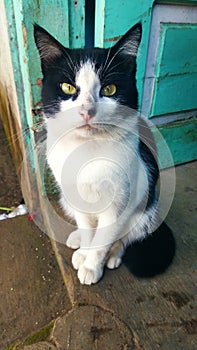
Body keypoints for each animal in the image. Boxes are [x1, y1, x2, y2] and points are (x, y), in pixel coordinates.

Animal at [34, 22, 159, 284]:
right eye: (68, 87)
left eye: (109, 89)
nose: (87, 111)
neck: (87, 149)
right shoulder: (73, 191)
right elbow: (86, 226)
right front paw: (85, 250)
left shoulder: (121, 200)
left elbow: (104, 238)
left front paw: (92, 266)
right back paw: (78, 241)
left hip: (147, 206)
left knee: (129, 236)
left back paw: (114, 254)